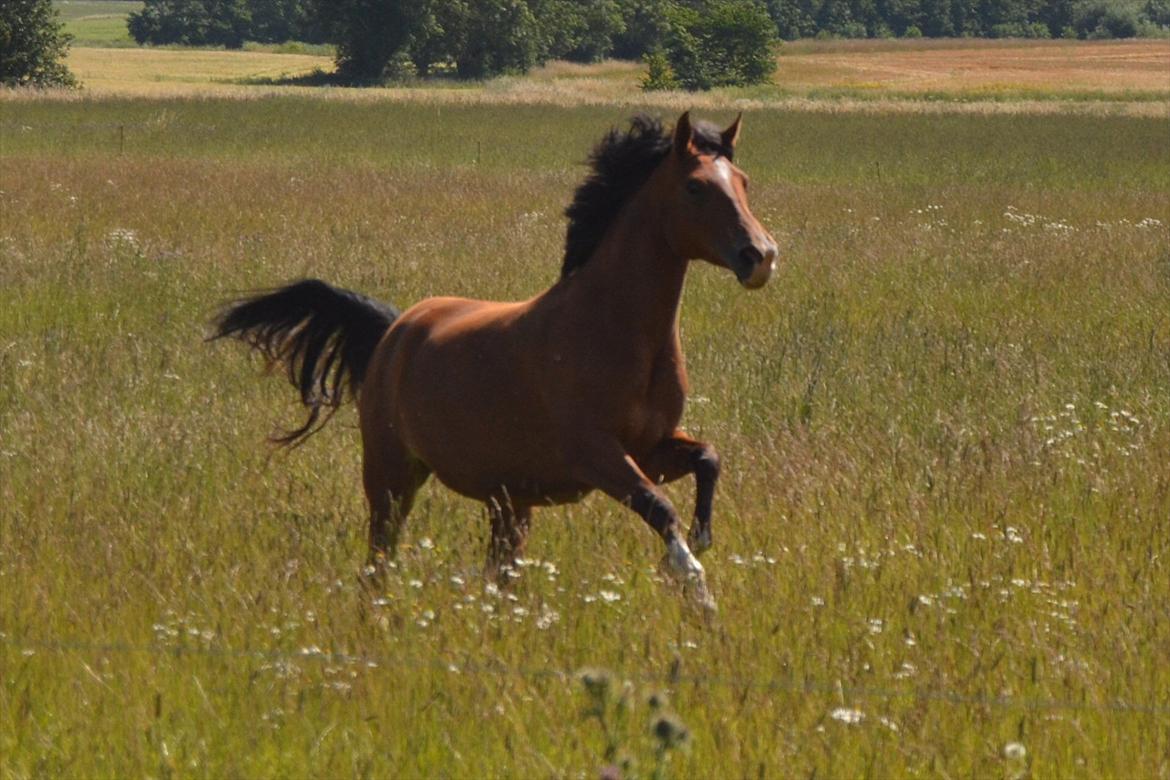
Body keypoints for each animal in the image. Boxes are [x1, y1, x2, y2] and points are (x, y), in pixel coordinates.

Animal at [212, 111, 776, 608]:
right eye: (696, 187)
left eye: (743, 182)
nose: (761, 256)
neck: (612, 331)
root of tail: (395, 328)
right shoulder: (596, 455)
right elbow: (659, 509)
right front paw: (694, 585)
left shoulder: (651, 448)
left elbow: (708, 458)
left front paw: (702, 538)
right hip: (392, 477)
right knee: (378, 563)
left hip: (510, 503)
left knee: (498, 575)